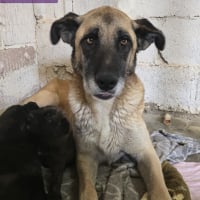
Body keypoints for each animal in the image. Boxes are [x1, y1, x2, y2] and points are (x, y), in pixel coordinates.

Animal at [23, 6, 170, 200]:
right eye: (90, 40)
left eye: (124, 42)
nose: (107, 82)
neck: (106, 109)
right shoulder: (86, 158)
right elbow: (88, 191)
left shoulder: (147, 154)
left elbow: (160, 188)